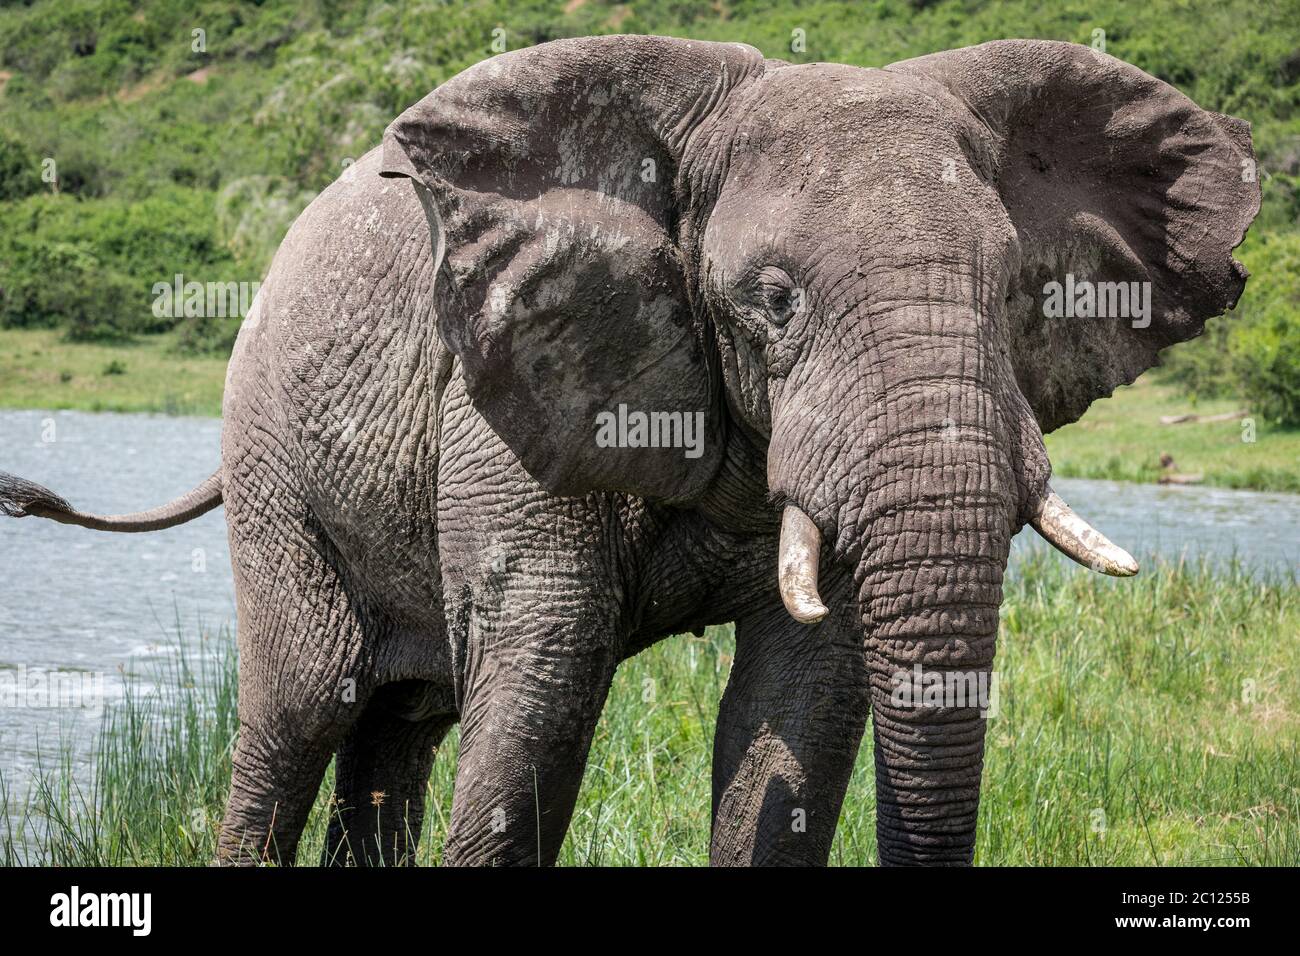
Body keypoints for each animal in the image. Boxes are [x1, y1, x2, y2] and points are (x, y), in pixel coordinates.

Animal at [0, 35, 1259, 866]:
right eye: (772, 300)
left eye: (1007, 291)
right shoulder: (507, 385)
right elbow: (546, 673)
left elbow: (805, 701)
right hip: (272, 454)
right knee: (303, 707)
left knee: (400, 727)